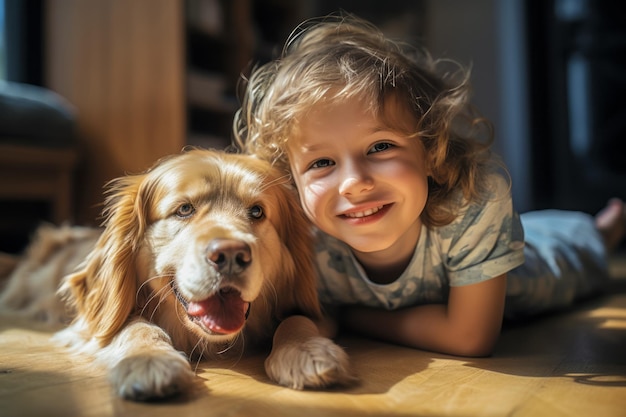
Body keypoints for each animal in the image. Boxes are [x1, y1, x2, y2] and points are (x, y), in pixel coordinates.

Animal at [2, 150, 352, 400]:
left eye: (257, 212)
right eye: (184, 210)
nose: (230, 255)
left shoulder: (323, 311)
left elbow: (296, 319)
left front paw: (306, 351)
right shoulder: (94, 322)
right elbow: (134, 325)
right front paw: (149, 360)